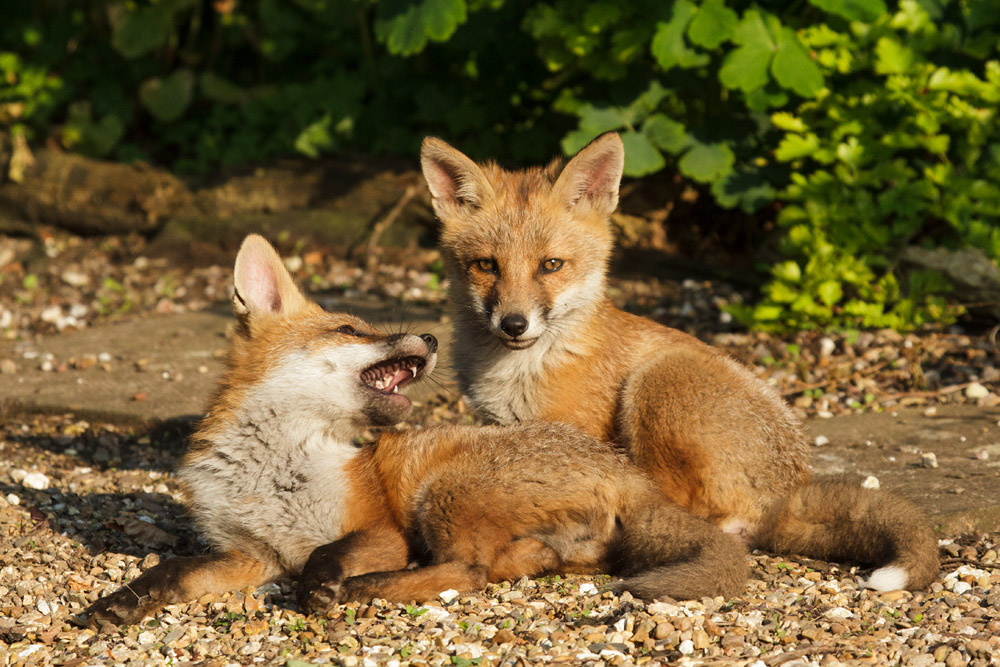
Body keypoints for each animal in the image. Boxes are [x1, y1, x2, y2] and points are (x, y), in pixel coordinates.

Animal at [85, 234, 747, 627]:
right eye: (350, 328)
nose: (429, 336)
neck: (273, 472)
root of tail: (627, 474)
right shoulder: (252, 556)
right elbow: (174, 571)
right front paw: (121, 603)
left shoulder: (378, 528)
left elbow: (327, 552)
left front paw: (323, 585)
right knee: (504, 565)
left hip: (443, 492)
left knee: (465, 572)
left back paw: (363, 589)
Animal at [420, 132, 940, 592]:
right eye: (486, 266)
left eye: (551, 265)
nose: (513, 324)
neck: (518, 373)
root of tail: (788, 490)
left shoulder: (576, 440)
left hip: (657, 385)